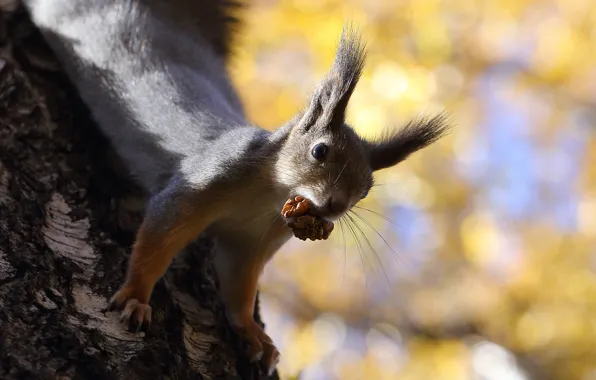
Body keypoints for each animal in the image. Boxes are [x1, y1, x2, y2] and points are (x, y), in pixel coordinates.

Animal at [21, 0, 450, 374]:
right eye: (320, 150)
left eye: (366, 190)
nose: (334, 206)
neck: (267, 196)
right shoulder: (198, 185)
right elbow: (158, 237)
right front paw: (135, 297)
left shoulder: (255, 238)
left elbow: (239, 283)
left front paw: (253, 333)